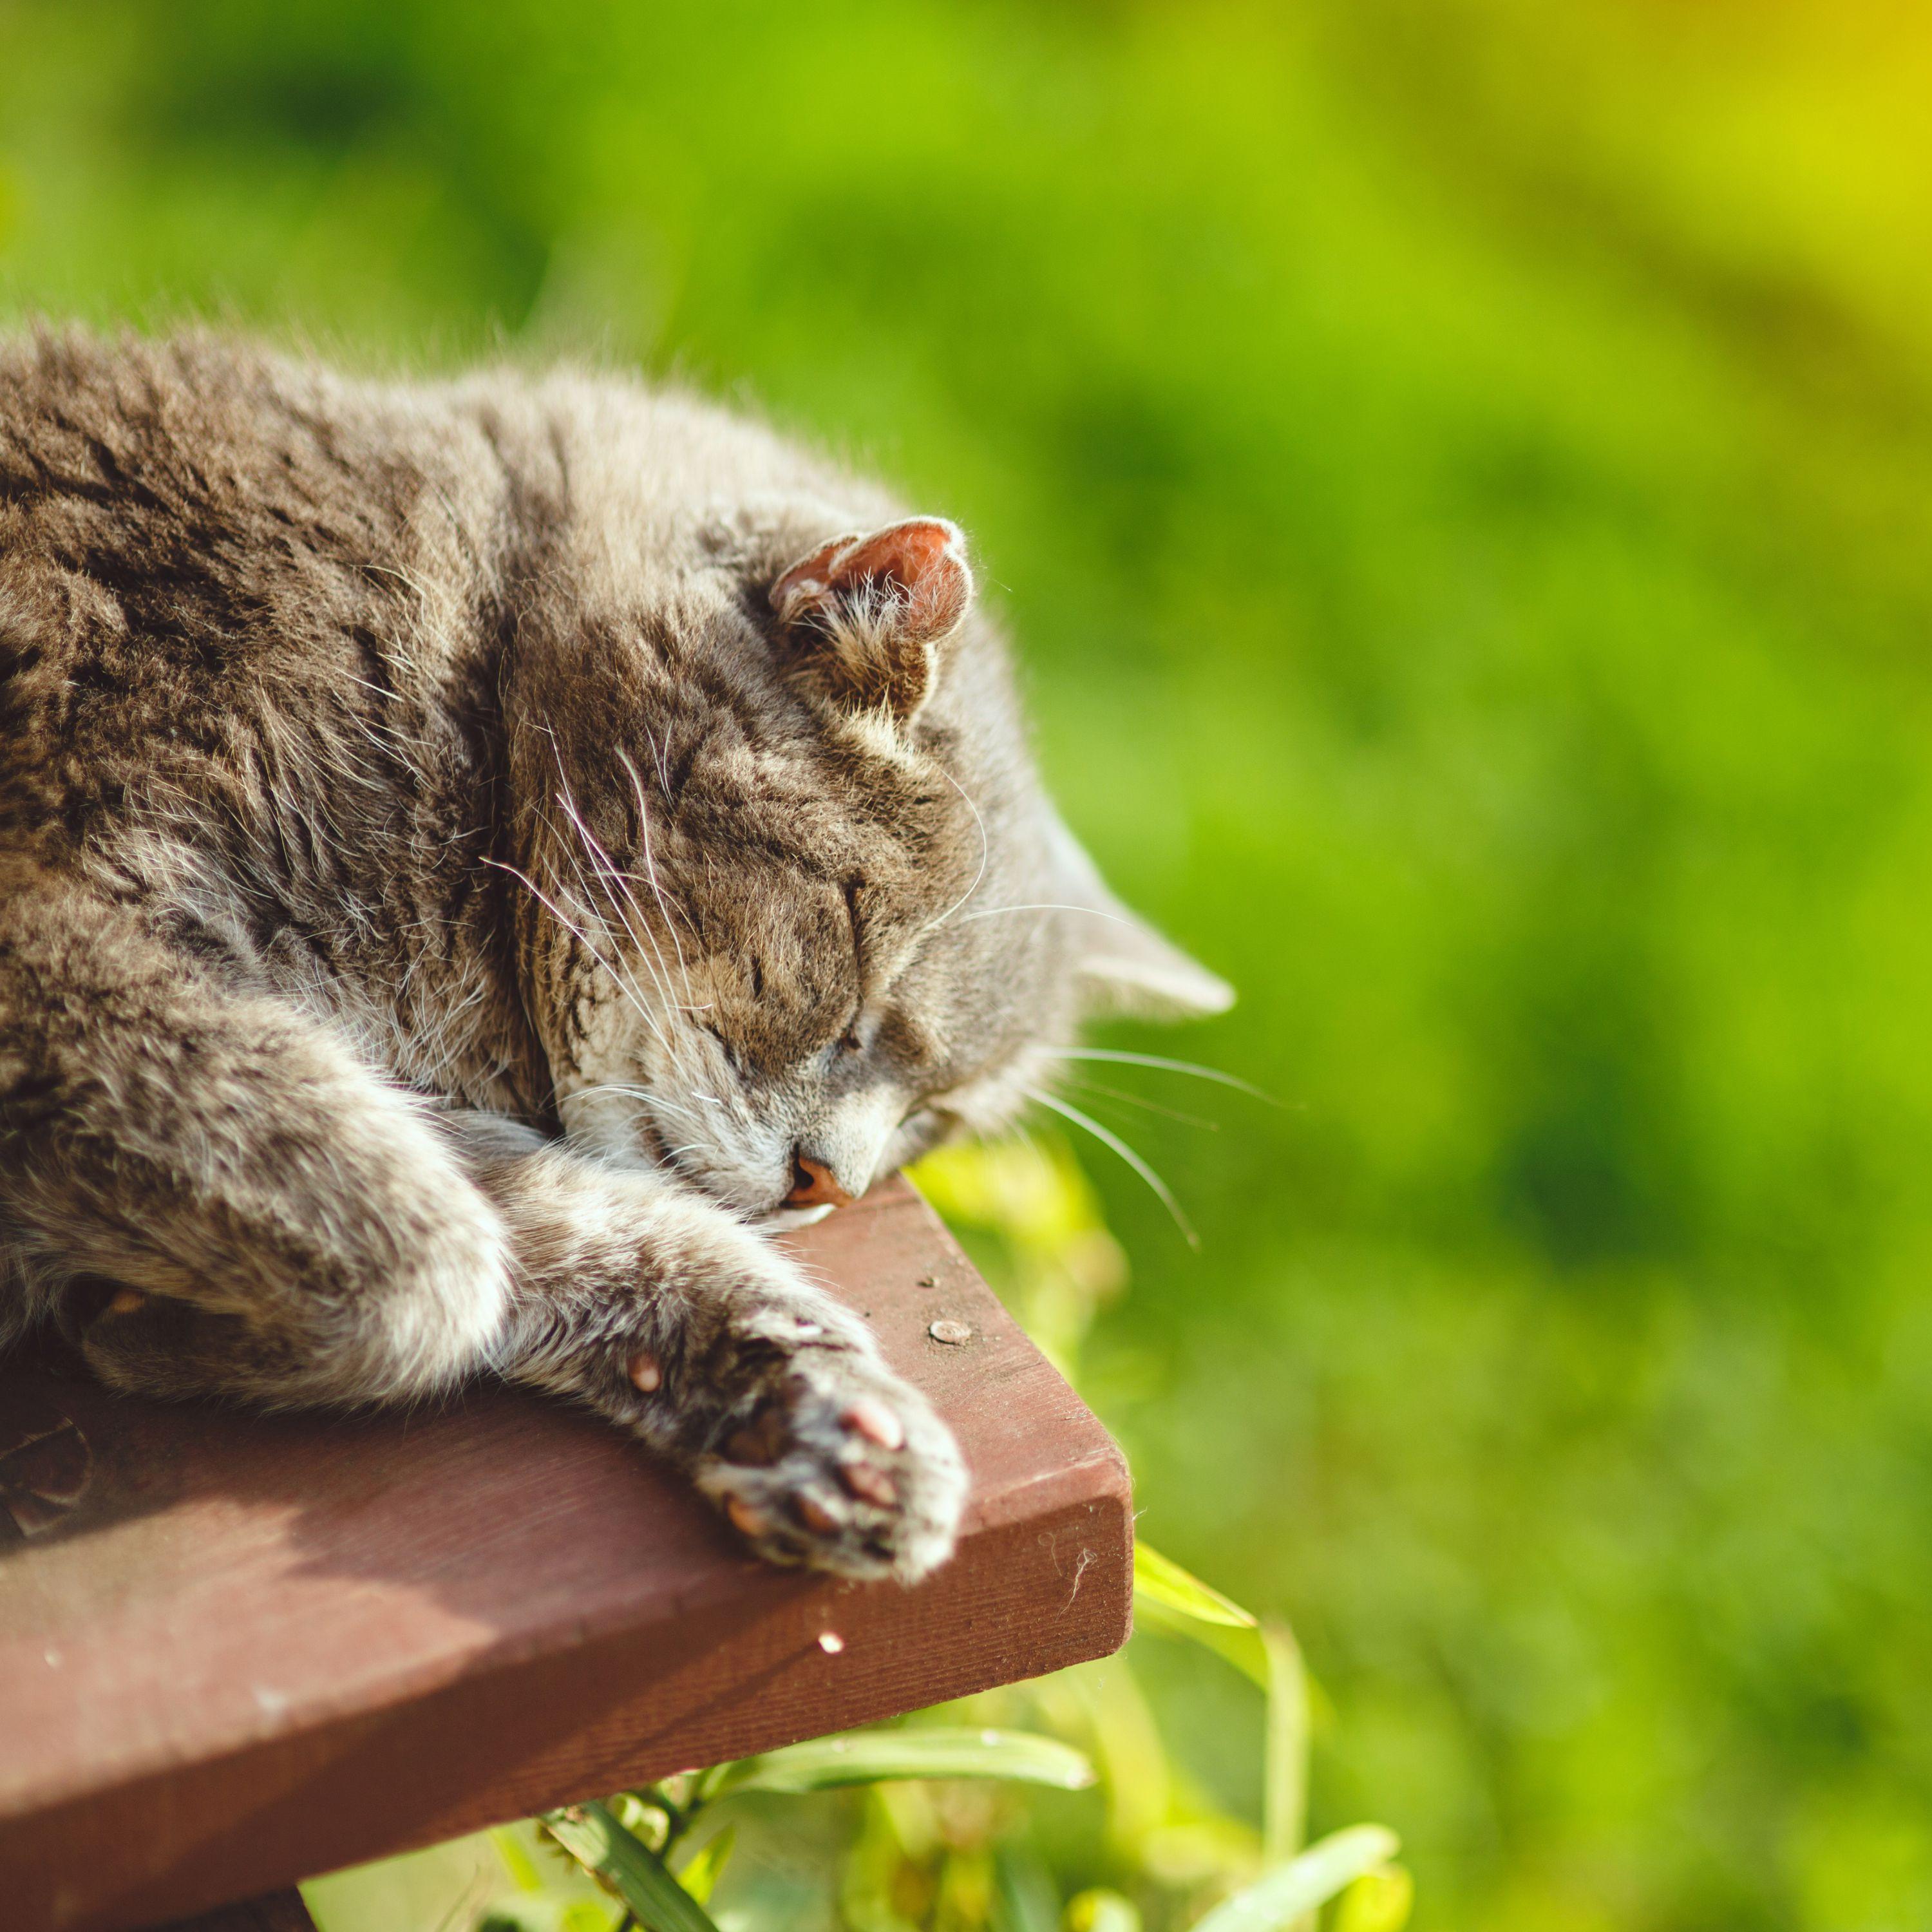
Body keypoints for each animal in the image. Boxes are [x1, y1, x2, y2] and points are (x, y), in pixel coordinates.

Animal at [0, 336, 1221, 1584]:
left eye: (937, 1120)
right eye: (856, 969)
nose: (828, 1183)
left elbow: (539, 1210)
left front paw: (814, 1410)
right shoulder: (58, 938)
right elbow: (430, 1249)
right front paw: (147, 1326)